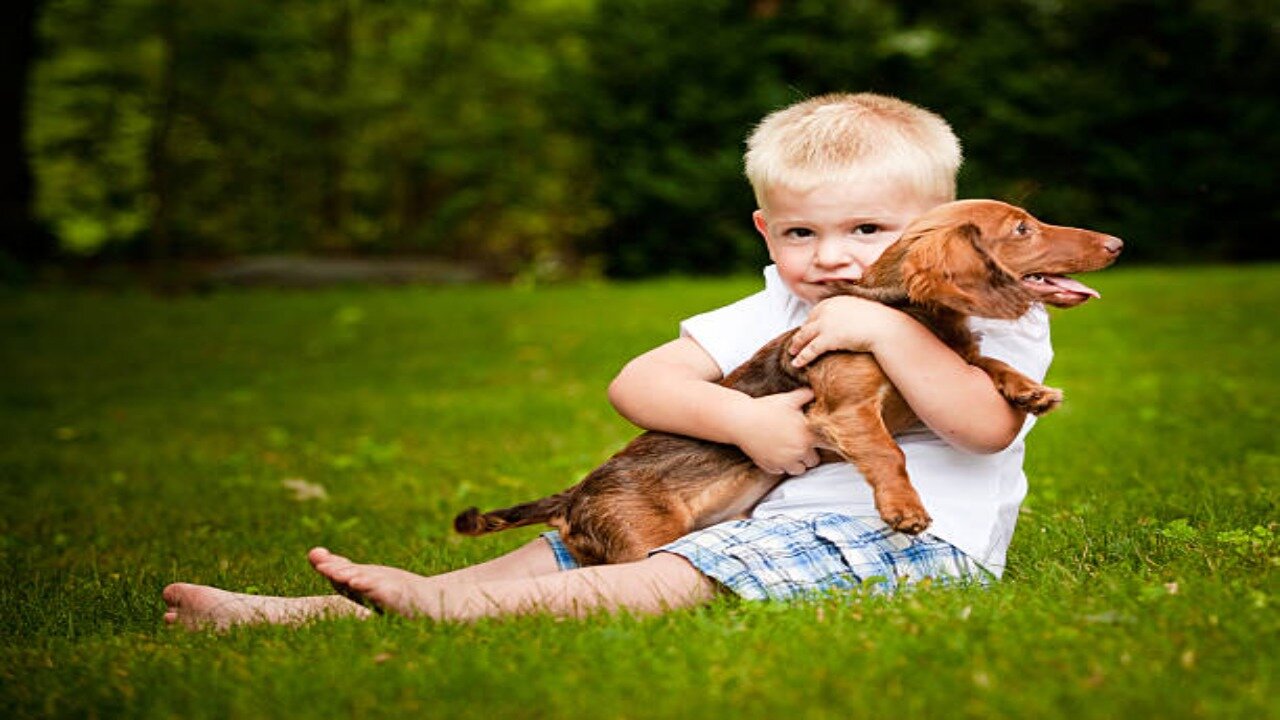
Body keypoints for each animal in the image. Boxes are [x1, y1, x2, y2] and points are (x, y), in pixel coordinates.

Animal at [450, 198, 1121, 563]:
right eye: (1022, 229)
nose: (1116, 243)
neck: (904, 313)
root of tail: (573, 497)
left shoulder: (946, 361)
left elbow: (982, 364)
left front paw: (1028, 388)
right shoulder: (845, 410)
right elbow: (888, 451)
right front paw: (903, 508)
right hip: (637, 540)